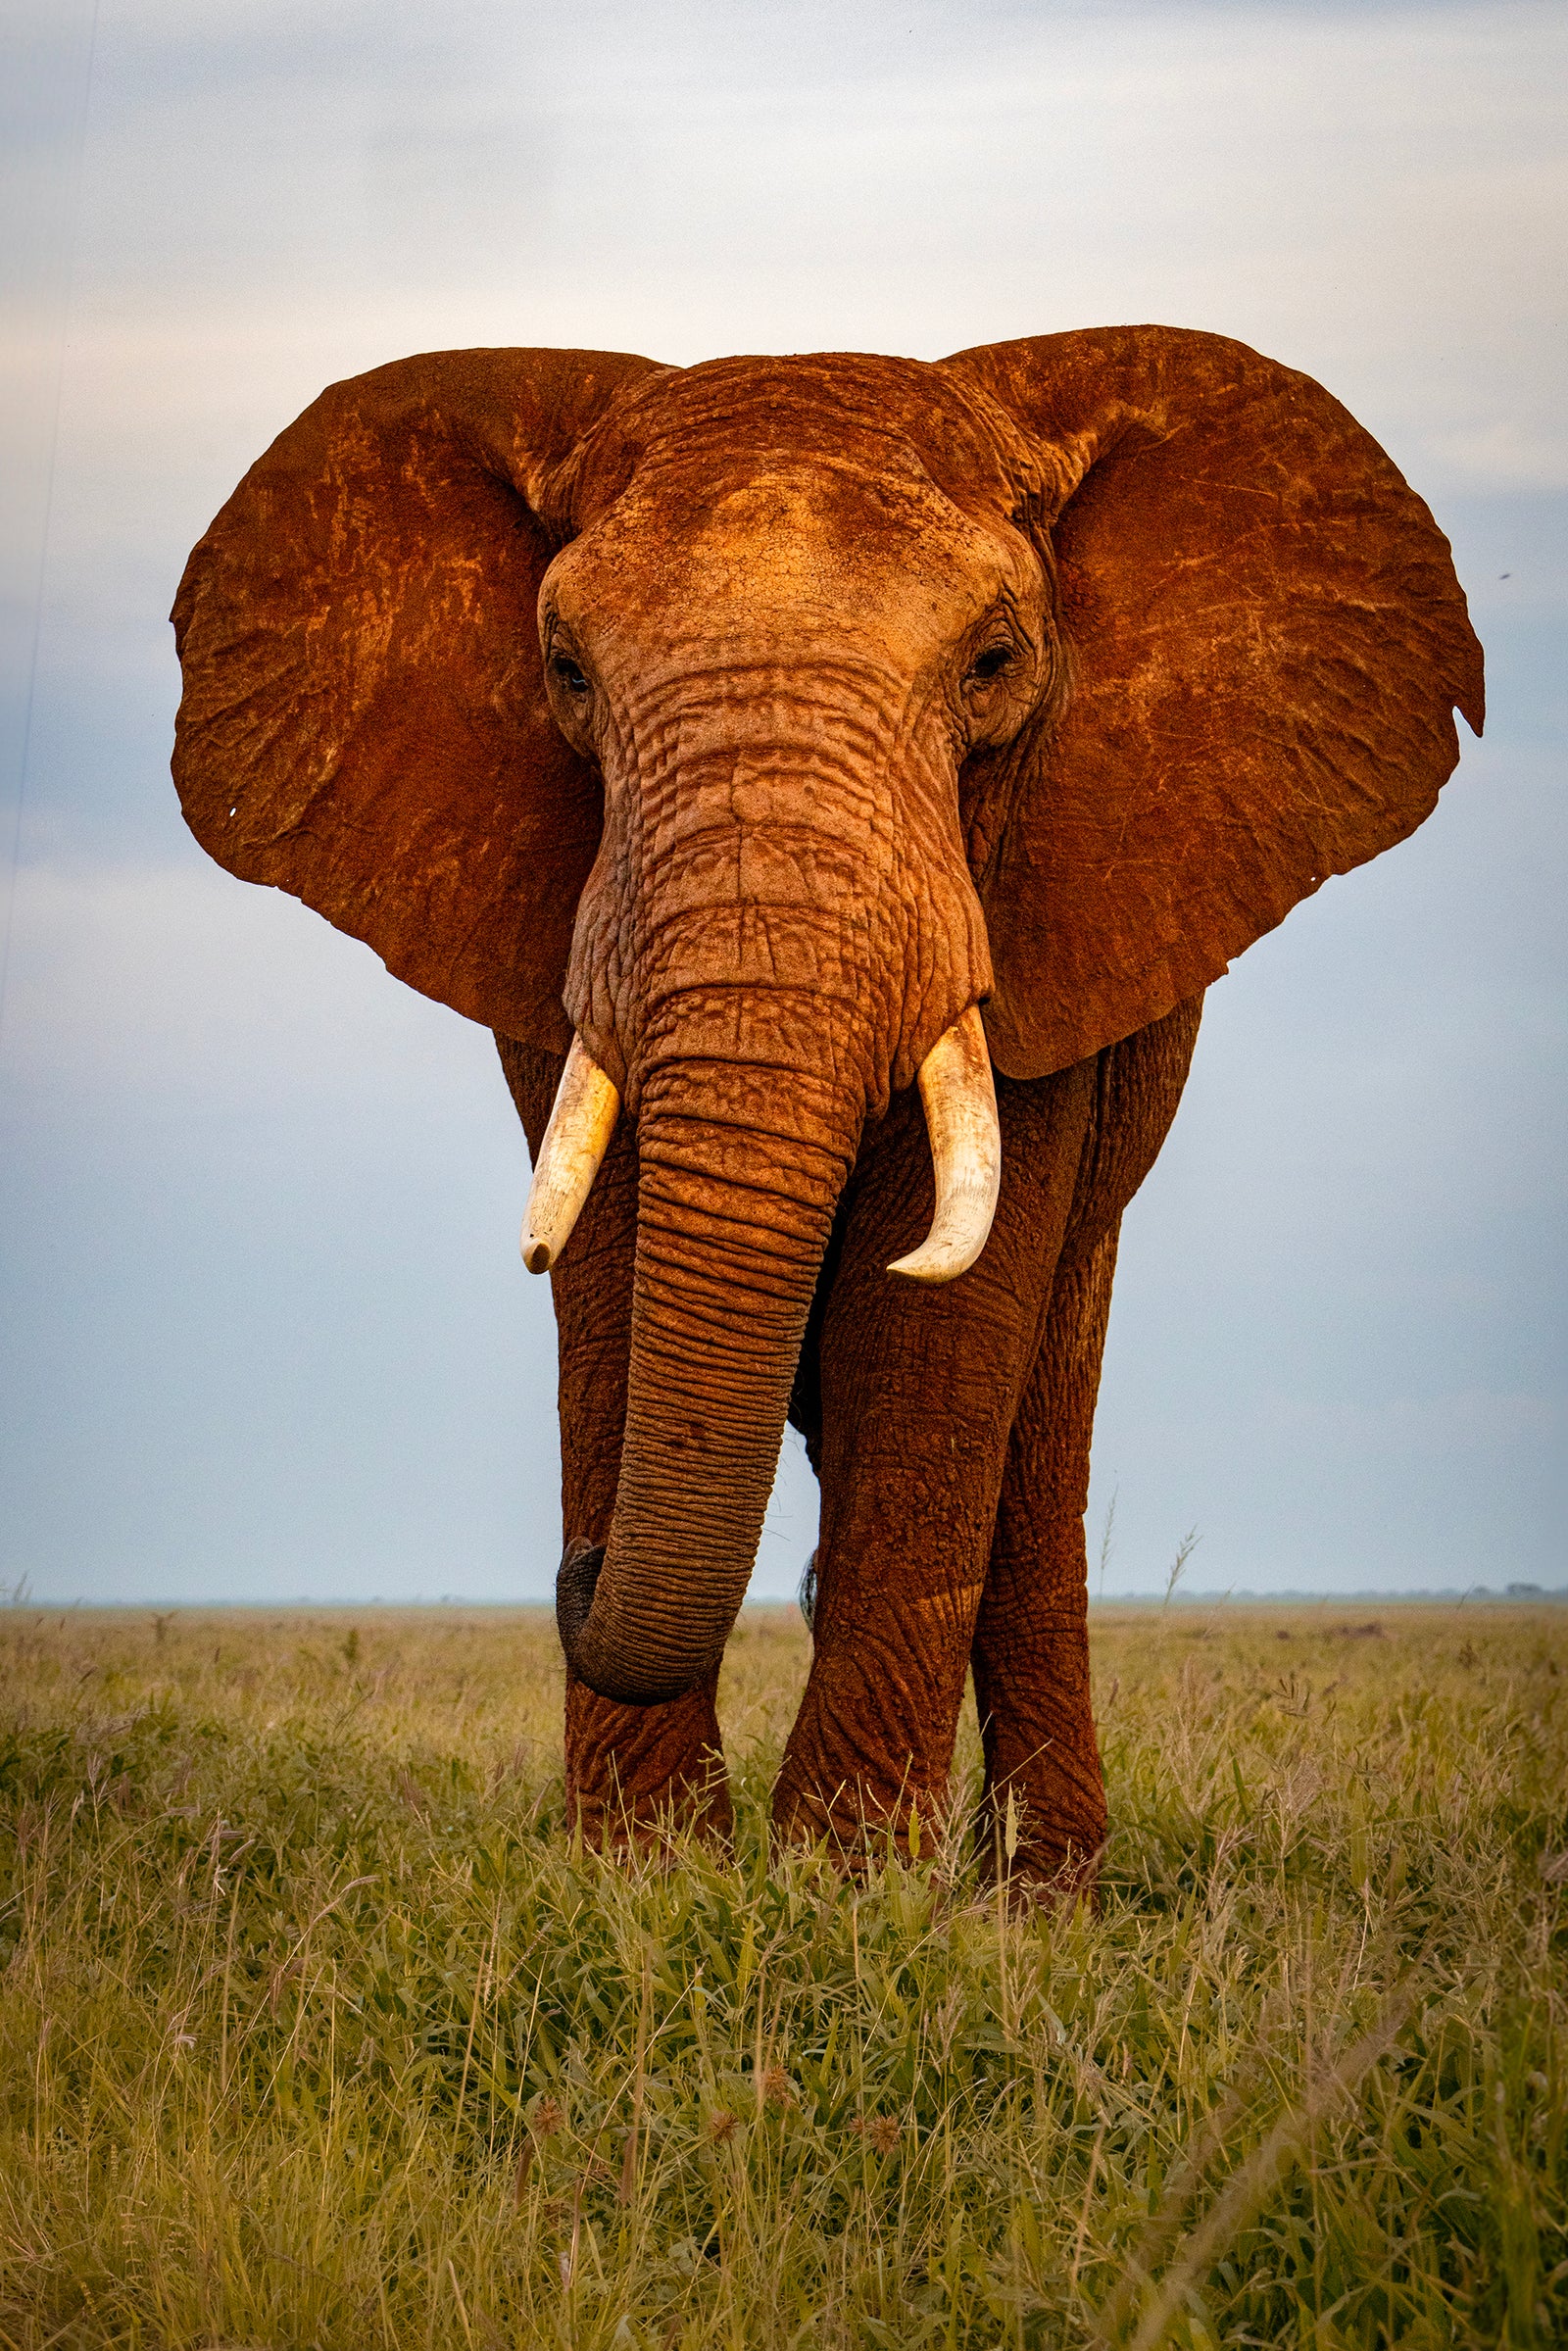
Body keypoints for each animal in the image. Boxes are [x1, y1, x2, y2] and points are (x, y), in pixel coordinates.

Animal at [170, 326, 1482, 1892]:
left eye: (993, 666)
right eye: (565, 673)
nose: (575, 1572)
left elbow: (931, 1338)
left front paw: (844, 1882)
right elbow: (608, 1280)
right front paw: (647, 1874)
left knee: (1039, 1434)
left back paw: (1045, 1899)